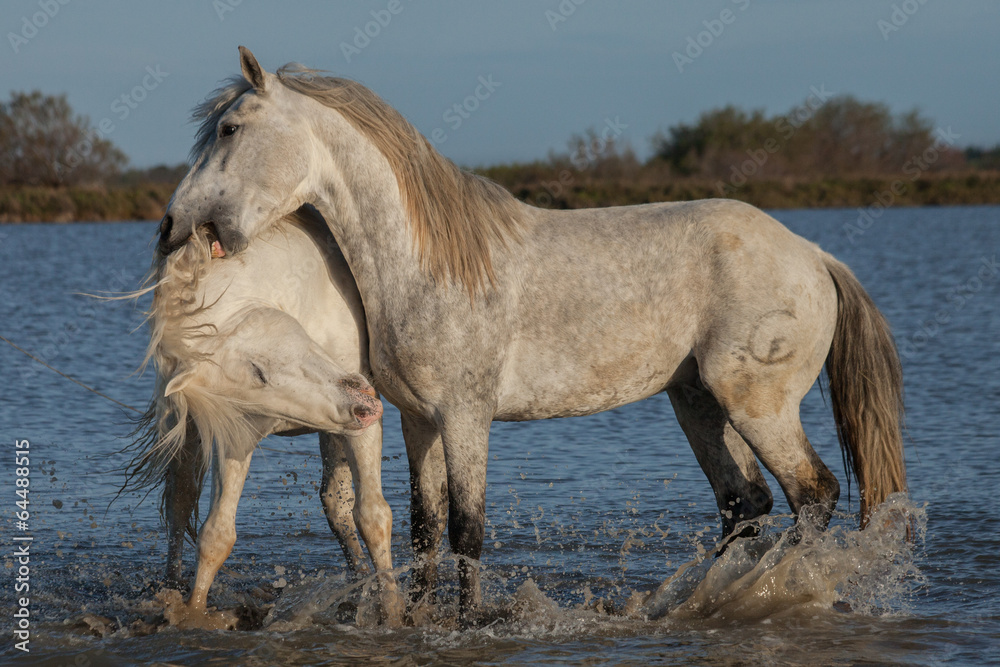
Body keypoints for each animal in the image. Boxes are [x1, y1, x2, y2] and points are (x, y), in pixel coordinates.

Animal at [131, 205, 402, 628]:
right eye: (258, 377)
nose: (364, 403)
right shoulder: (235, 436)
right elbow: (217, 534)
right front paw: (192, 612)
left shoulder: (361, 427)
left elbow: (373, 515)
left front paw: (391, 612)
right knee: (180, 503)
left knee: (339, 505)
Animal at [158, 47, 907, 623]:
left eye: (230, 128)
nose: (170, 225)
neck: (426, 263)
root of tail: (814, 256)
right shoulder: (418, 420)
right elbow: (425, 527)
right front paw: (421, 618)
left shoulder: (466, 417)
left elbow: (467, 529)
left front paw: (467, 624)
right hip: (698, 401)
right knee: (745, 505)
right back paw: (700, 601)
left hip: (757, 403)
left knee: (813, 495)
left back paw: (763, 593)